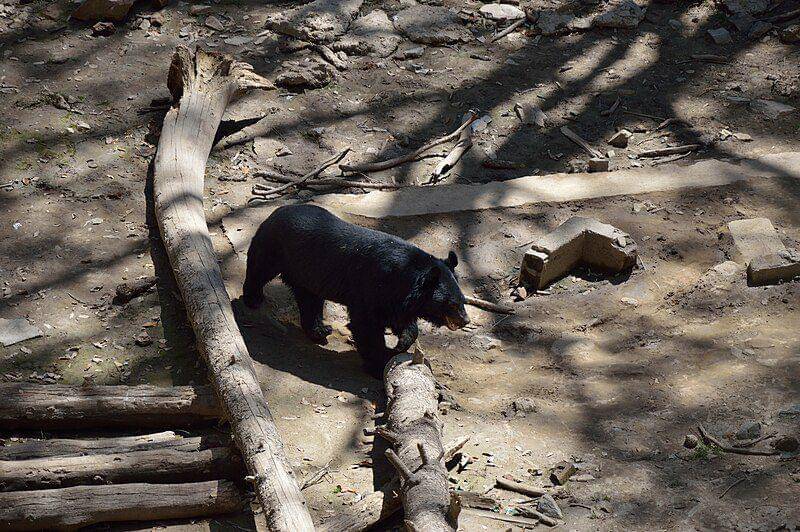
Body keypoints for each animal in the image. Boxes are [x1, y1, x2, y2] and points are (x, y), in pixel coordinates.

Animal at [242, 204, 470, 376]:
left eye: (462, 300)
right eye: (451, 304)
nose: (465, 320)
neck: (404, 275)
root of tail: (276, 211)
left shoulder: (395, 299)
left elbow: (400, 321)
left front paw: (399, 345)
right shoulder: (371, 289)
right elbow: (366, 326)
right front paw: (379, 365)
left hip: (306, 273)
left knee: (310, 301)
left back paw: (320, 331)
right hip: (275, 248)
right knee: (260, 269)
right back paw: (252, 299)